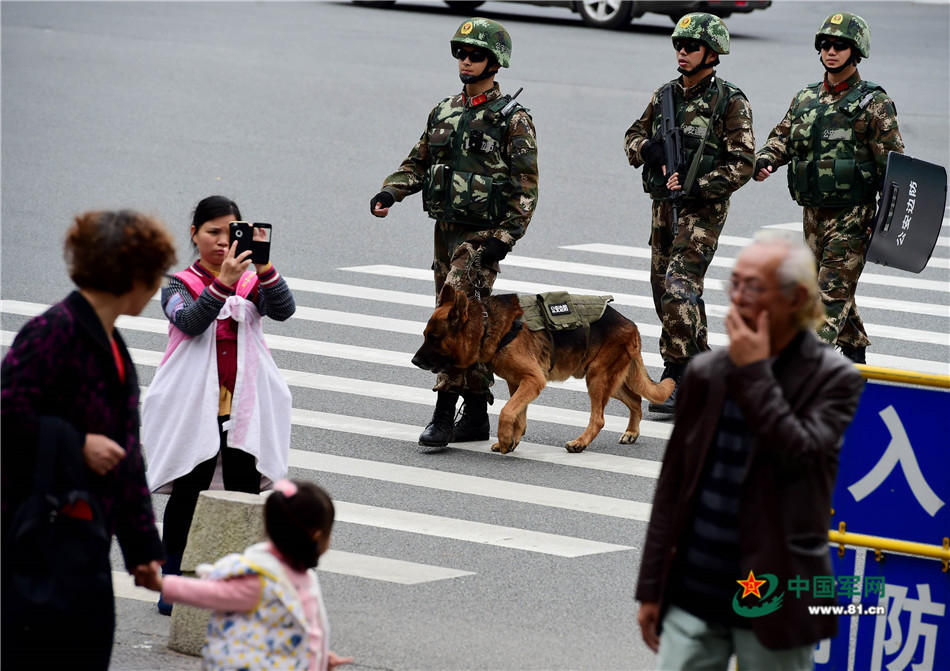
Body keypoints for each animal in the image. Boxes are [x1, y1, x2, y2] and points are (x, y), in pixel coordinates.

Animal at [410, 286, 676, 454]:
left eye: (434, 337)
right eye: (425, 335)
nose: (413, 360)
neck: (486, 325)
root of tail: (632, 326)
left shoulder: (533, 380)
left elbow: (507, 411)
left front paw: (505, 439)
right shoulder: (518, 383)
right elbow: (518, 414)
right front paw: (513, 440)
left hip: (597, 378)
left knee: (600, 418)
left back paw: (580, 443)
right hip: (606, 379)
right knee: (636, 400)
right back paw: (631, 432)